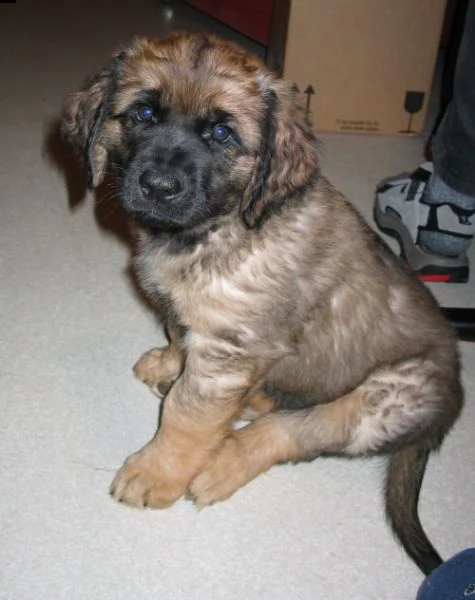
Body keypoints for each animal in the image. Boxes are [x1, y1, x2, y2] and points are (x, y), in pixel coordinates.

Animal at [60, 31, 464, 576]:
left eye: (221, 134)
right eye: (143, 113)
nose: (158, 187)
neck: (221, 225)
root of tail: (450, 403)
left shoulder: (230, 349)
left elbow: (186, 414)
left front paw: (156, 472)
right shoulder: (207, 331)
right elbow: (177, 331)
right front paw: (167, 363)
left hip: (379, 402)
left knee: (289, 433)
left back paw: (223, 462)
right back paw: (251, 400)